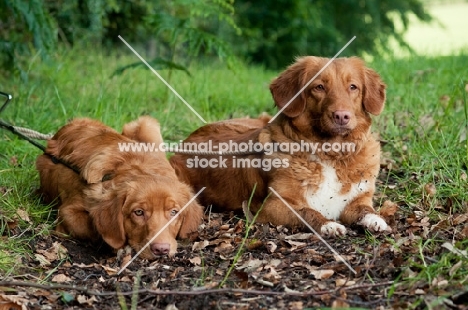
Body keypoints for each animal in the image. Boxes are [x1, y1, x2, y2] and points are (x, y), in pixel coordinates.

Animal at [170, 55, 390, 236]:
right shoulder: (273, 205)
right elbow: (306, 211)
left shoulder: (357, 199)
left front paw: (376, 219)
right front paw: (328, 224)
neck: (329, 152)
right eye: (319, 87)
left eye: (353, 87)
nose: (342, 116)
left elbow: (366, 209)